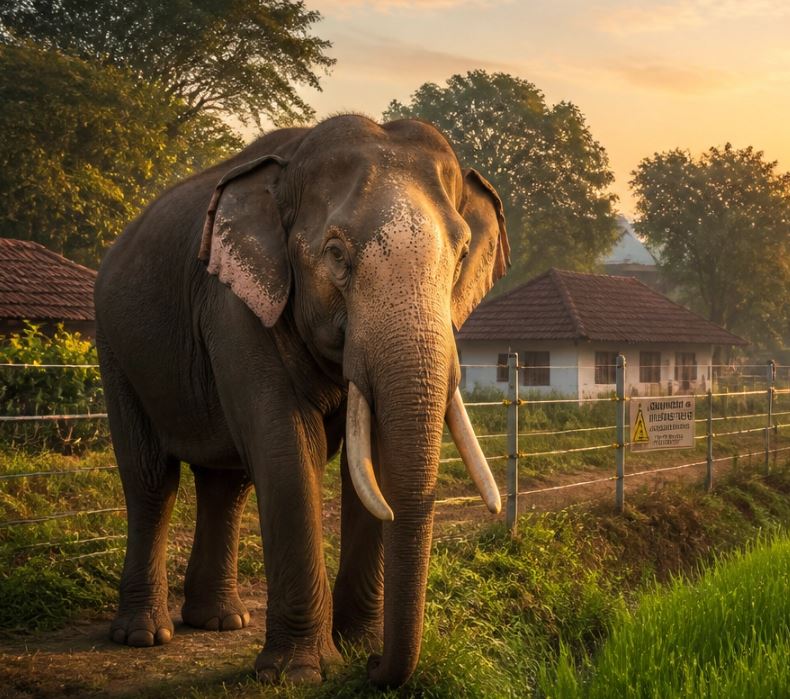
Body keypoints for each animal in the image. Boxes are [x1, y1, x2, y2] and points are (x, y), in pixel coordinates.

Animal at [93, 114, 509, 688]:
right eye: (335, 254)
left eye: (464, 254)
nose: (376, 670)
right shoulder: (235, 307)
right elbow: (287, 449)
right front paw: (301, 674)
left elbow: (369, 463)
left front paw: (357, 647)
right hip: (116, 348)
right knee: (152, 480)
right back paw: (145, 635)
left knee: (227, 485)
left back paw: (221, 621)